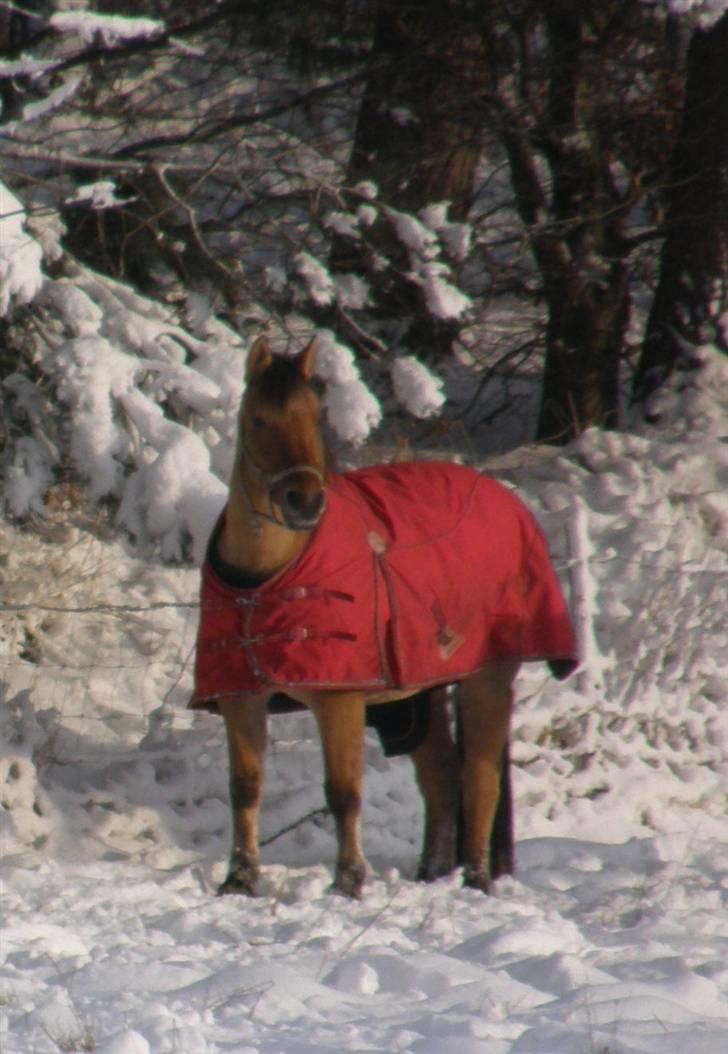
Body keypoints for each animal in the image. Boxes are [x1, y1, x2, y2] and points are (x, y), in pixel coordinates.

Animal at [190, 337, 577, 898]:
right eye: (259, 418)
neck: (266, 579)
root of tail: (507, 501)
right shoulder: (241, 697)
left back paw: (475, 877)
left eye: (317, 414)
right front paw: (240, 877)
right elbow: (245, 787)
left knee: (479, 778)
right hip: (419, 694)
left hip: (486, 677)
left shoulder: (341, 697)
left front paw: (349, 880)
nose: (304, 502)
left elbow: (343, 791)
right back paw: (432, 872)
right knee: (442, 778)